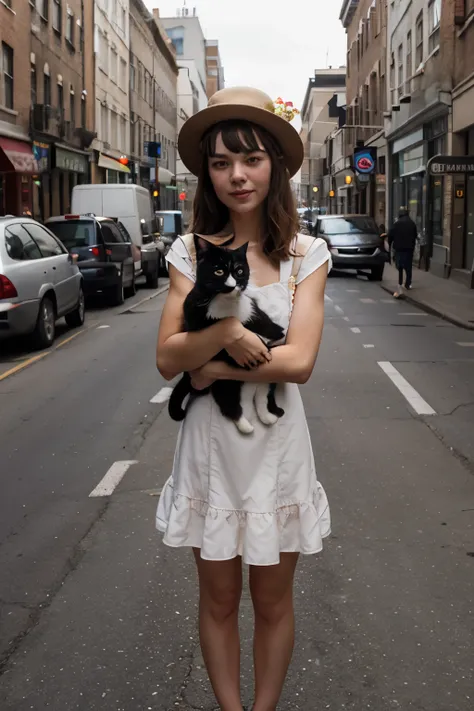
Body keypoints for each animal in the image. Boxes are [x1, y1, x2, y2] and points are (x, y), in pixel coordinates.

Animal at [168, 236, 284, 434]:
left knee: (262, 393)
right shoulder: (193, 316)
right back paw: (245, 425)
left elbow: (274, 333)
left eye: (239, 271)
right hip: (225, 381)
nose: (231, 286)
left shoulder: (259, 317)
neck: (225, 304)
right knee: (227, 398)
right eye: (219, 271)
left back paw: (268, 416)